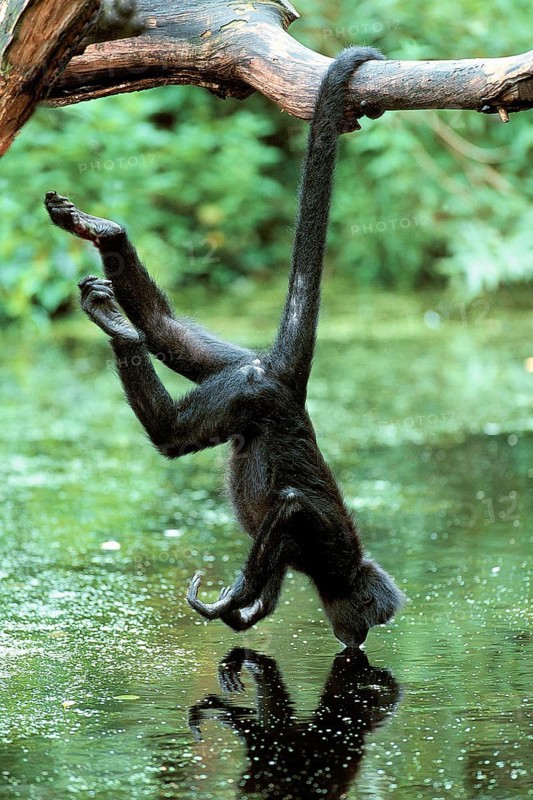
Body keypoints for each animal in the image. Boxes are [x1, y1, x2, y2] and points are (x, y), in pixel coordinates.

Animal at [44, 46, 405, 648]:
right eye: (374, 619)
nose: (356, 639)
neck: (341, 569)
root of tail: (284, 384)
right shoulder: (328, 543)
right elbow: (290, 509)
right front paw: (237, 596)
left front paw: (245, 609)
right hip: (250, 391)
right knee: (171, 433)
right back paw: (120, 324)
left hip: (239, 373)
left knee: (166, 331)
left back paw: (111, 252)